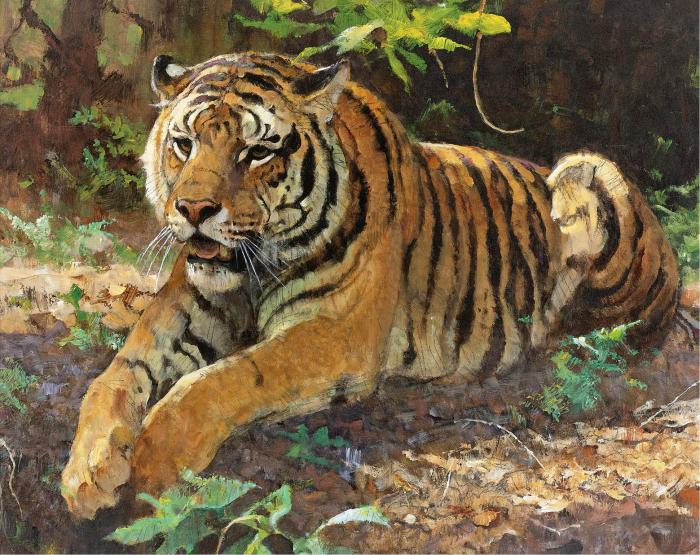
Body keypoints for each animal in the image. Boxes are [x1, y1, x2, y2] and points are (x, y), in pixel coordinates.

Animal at [61, 52, 679, 519]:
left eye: (256, 151)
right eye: (184, 144)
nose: (193, 210)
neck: (250, 274)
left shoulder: (337, 333)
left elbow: (223, 380)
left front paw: (151, 464)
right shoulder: (183, 311)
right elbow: (113, 380)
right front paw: (88, 472)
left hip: (588, 172)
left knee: (618, 329)